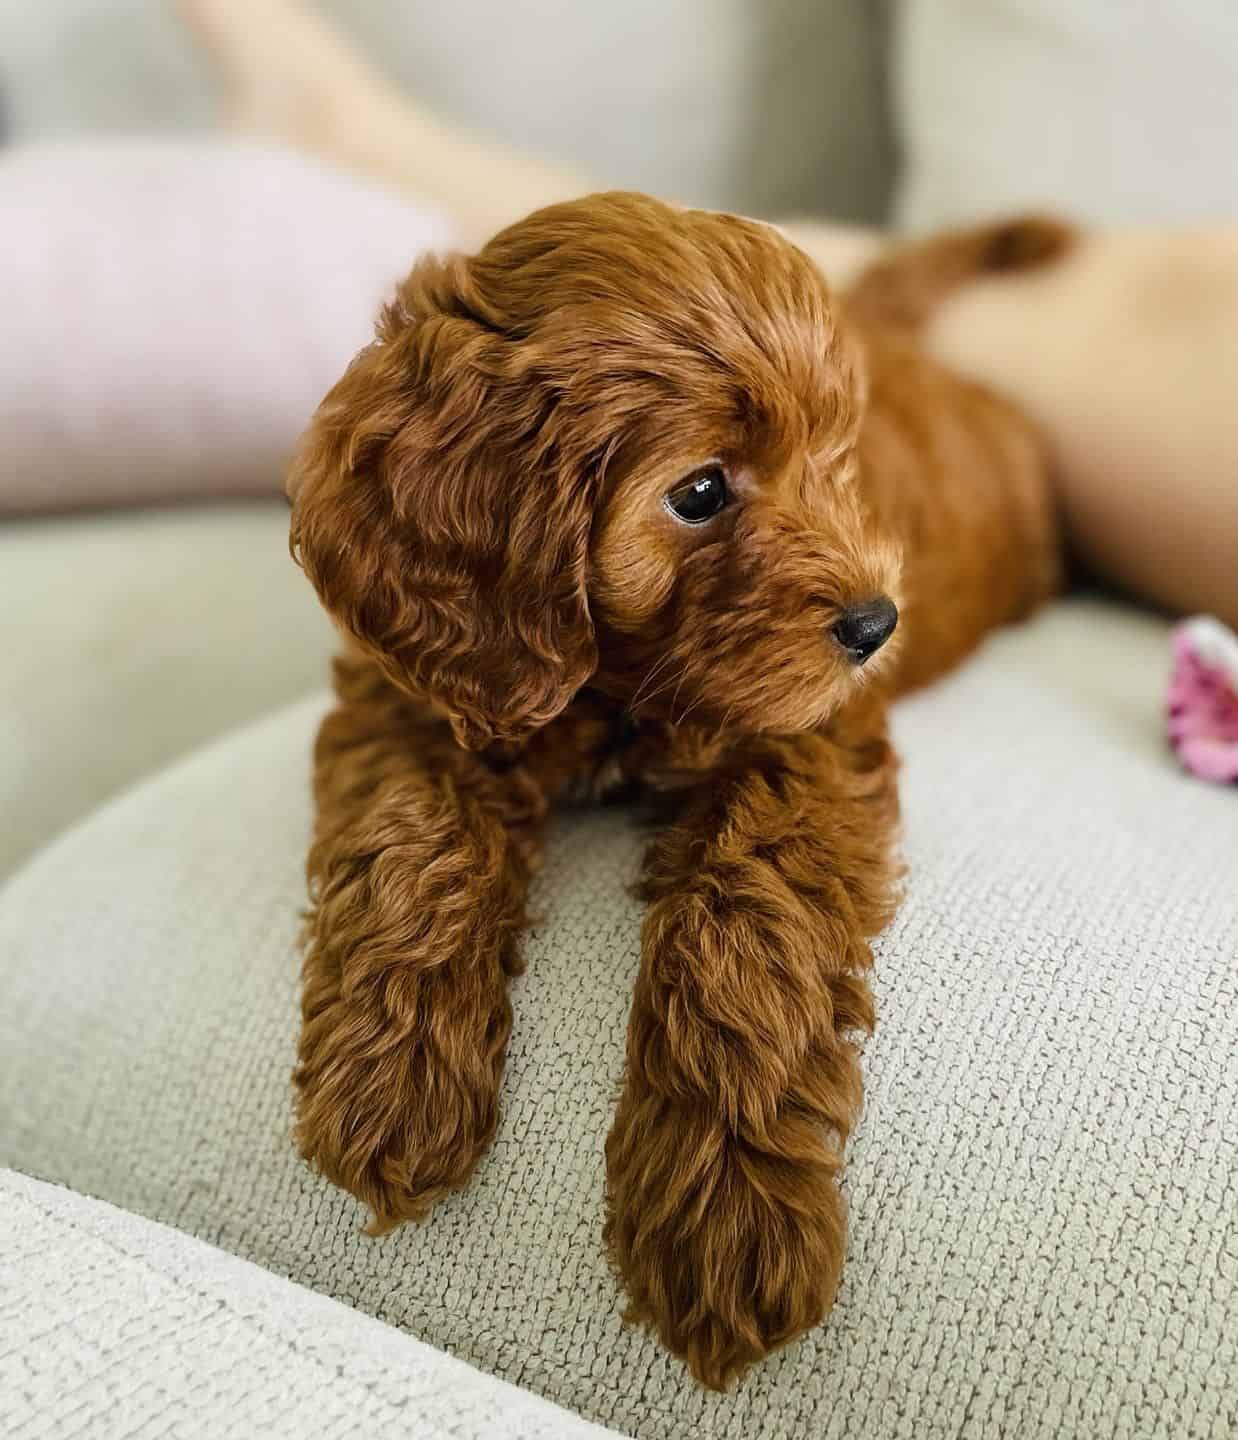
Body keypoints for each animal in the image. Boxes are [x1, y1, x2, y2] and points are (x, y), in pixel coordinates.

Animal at [283, 191, 1065, 1382]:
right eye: (698, 492)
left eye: (837, 463)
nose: (875, 624)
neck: (616, 678)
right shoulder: (409, 694)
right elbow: (410, 847)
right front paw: (392, 1075)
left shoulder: (804, 744)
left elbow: (743, 925)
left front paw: (728, 1201)